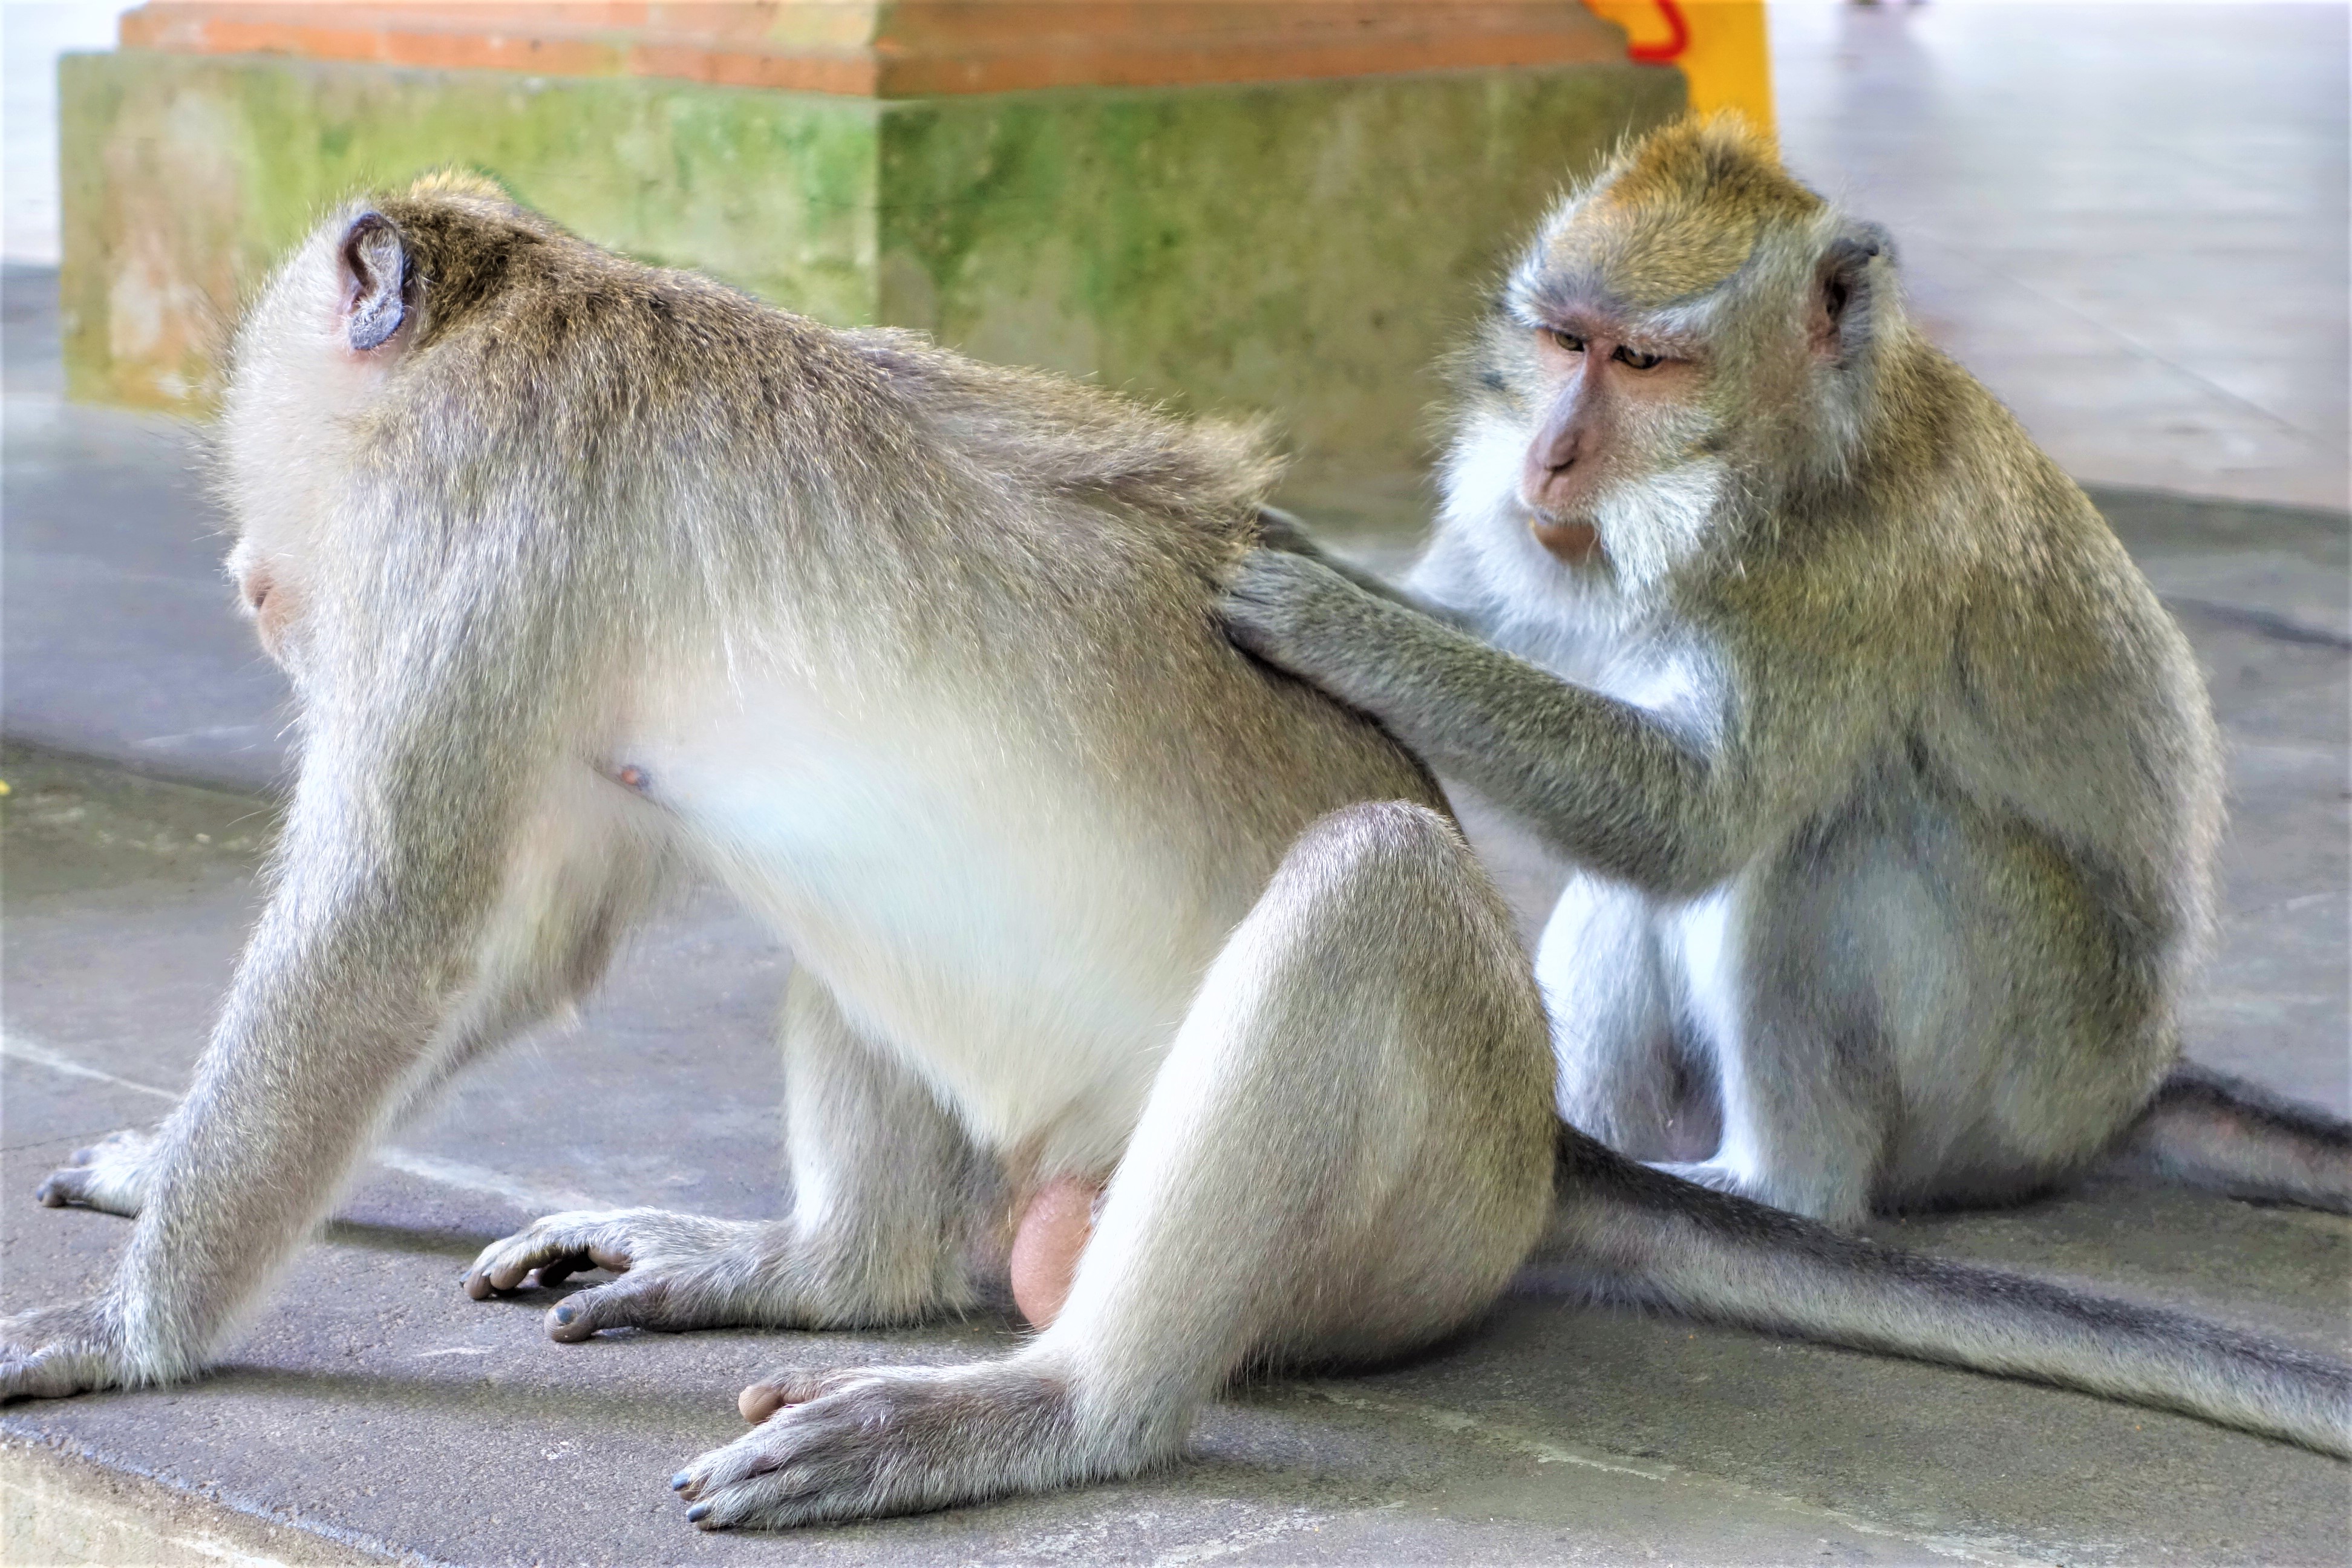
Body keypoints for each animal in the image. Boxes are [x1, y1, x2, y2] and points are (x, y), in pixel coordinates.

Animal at [1222, 115, 2352, 1233]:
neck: (1787, 478)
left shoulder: (1849, 575)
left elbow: (1700, 818)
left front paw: (1332, 624)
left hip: (2029, 1076)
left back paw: (1777, 1194)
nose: (1545, 458)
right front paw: (1306, 552)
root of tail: (2138, 1084)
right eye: (1564, 343)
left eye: (1640, 361)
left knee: (1834, 842)